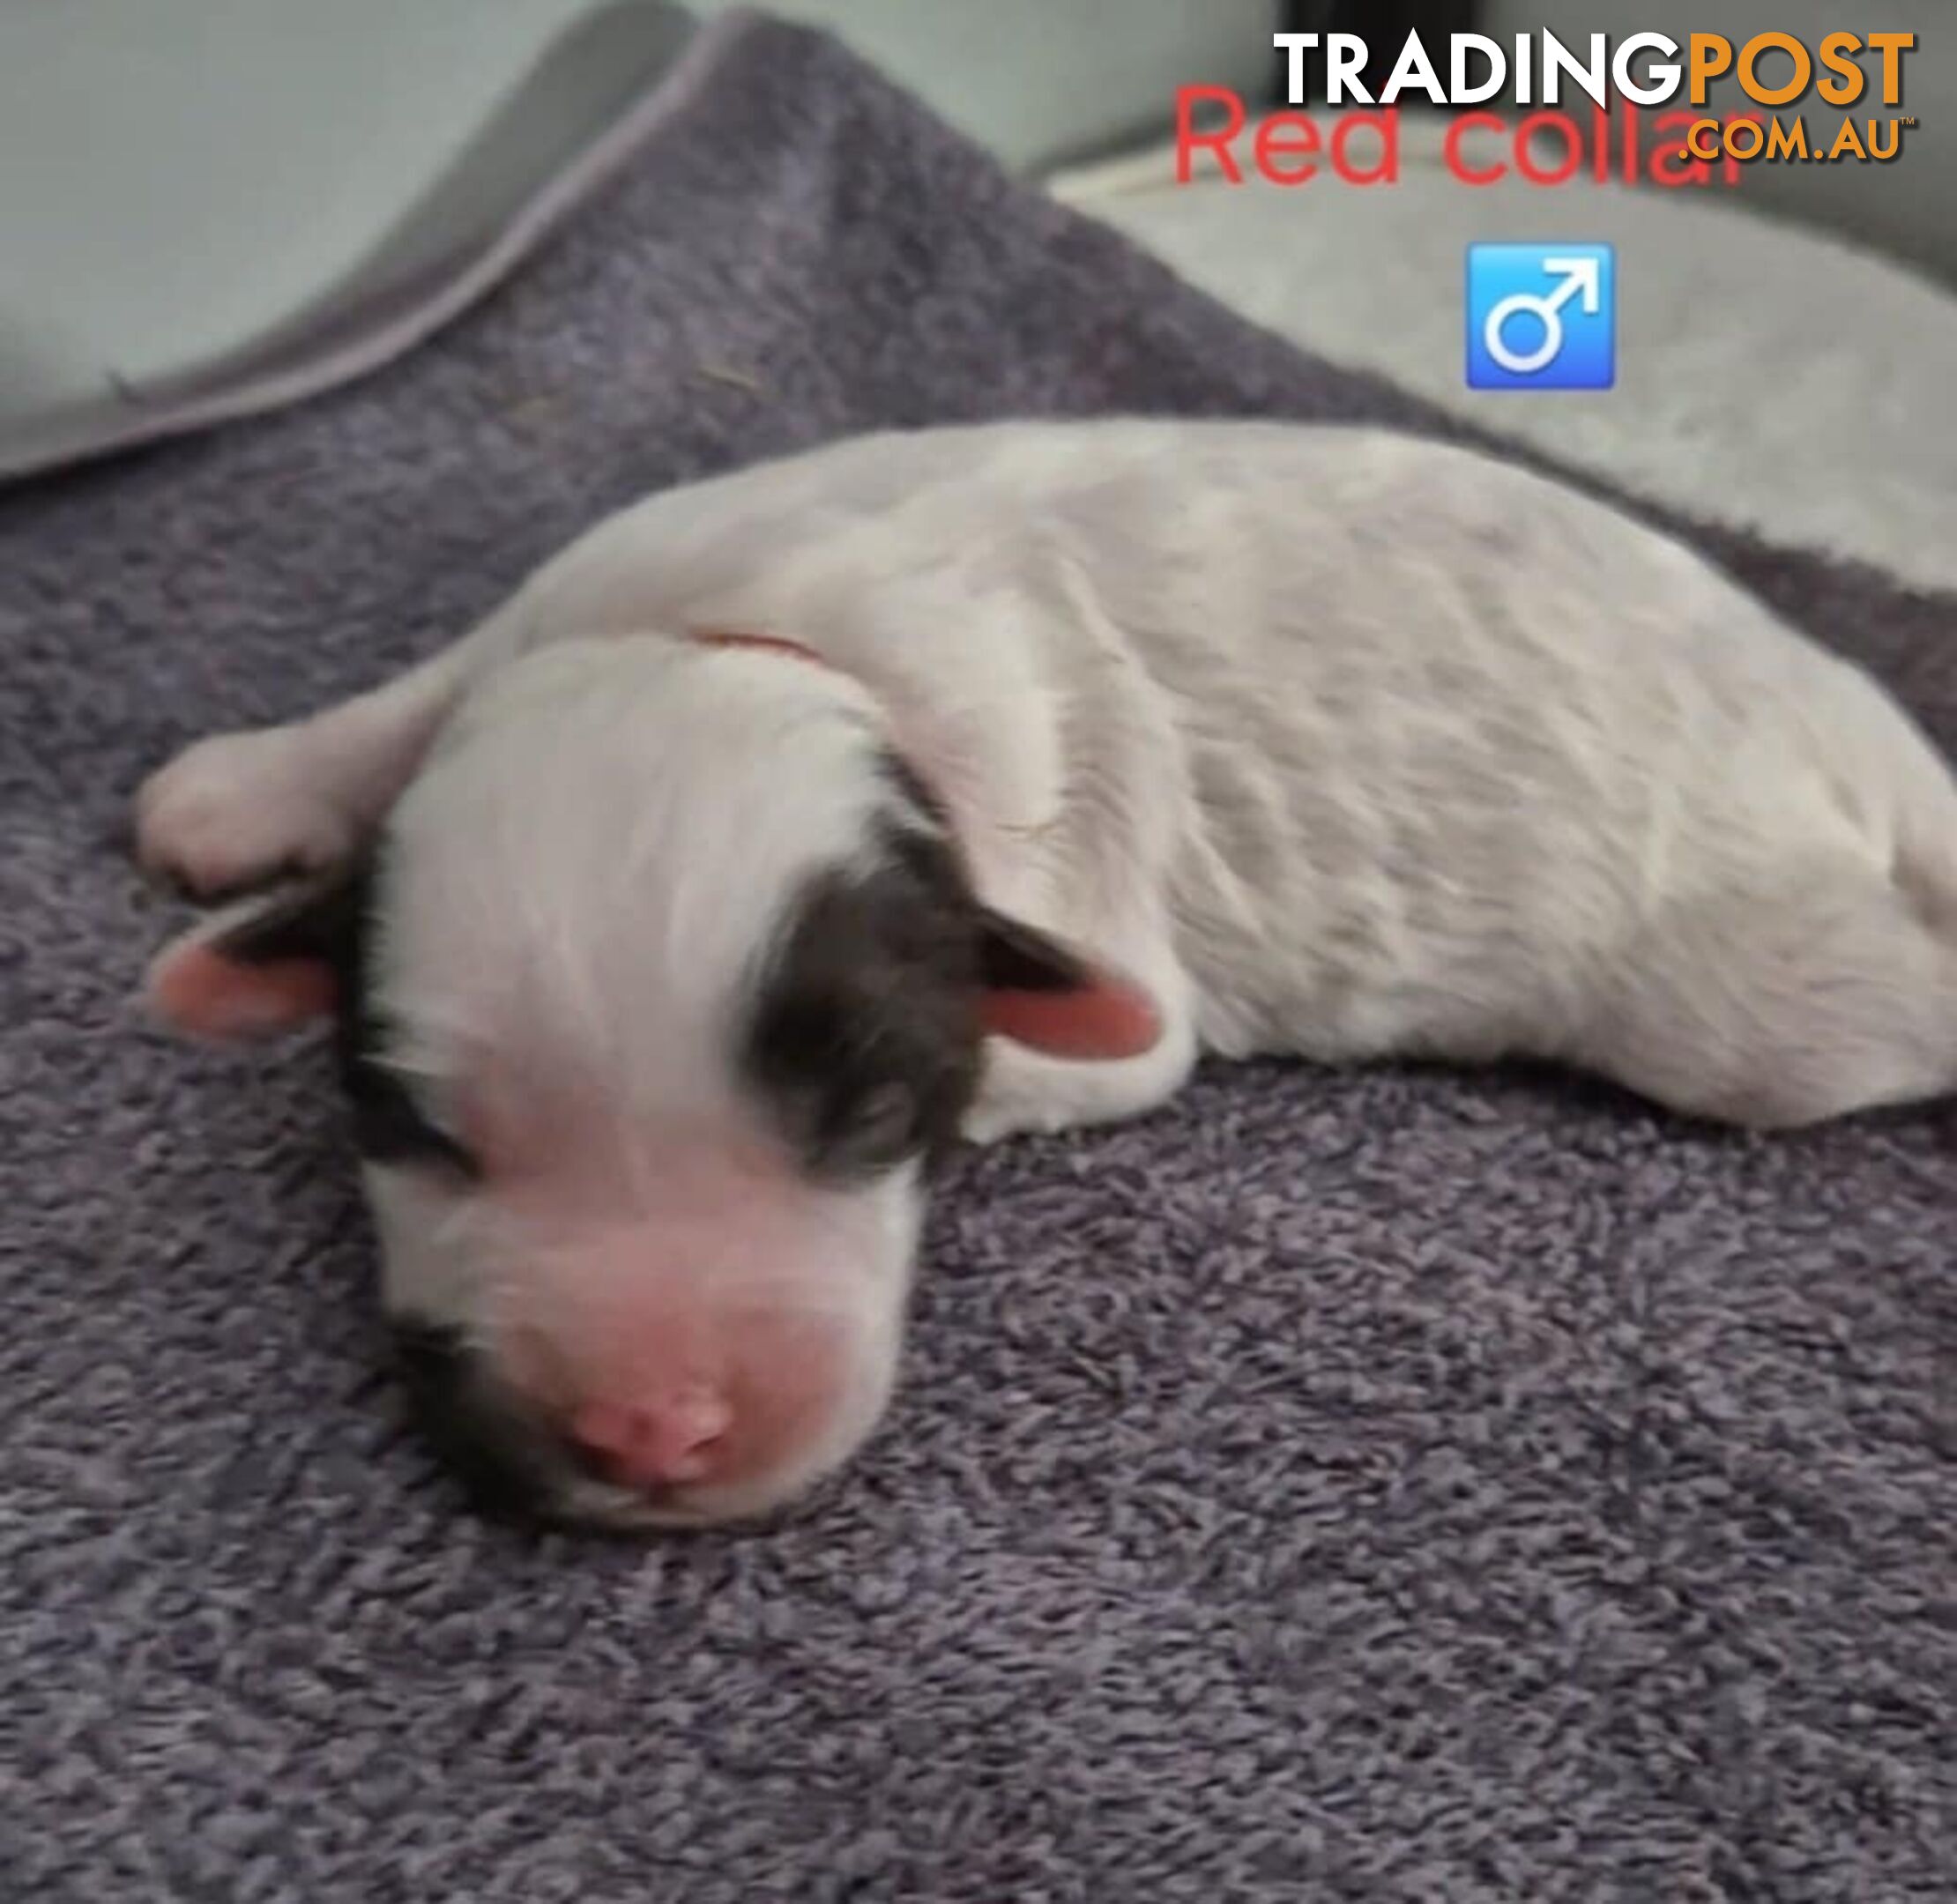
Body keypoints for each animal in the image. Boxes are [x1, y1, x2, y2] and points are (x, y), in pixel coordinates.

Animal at [138, 420, 1957, 1534]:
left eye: (874, 1114)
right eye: (413, 1129)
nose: (651, 1434)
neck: (755, 635)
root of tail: (1856, 716)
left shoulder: (1074, 886)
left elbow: (1101, 1045)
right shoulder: (572, 596)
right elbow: (417, 697)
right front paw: (238, 794)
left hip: (1764, 991)